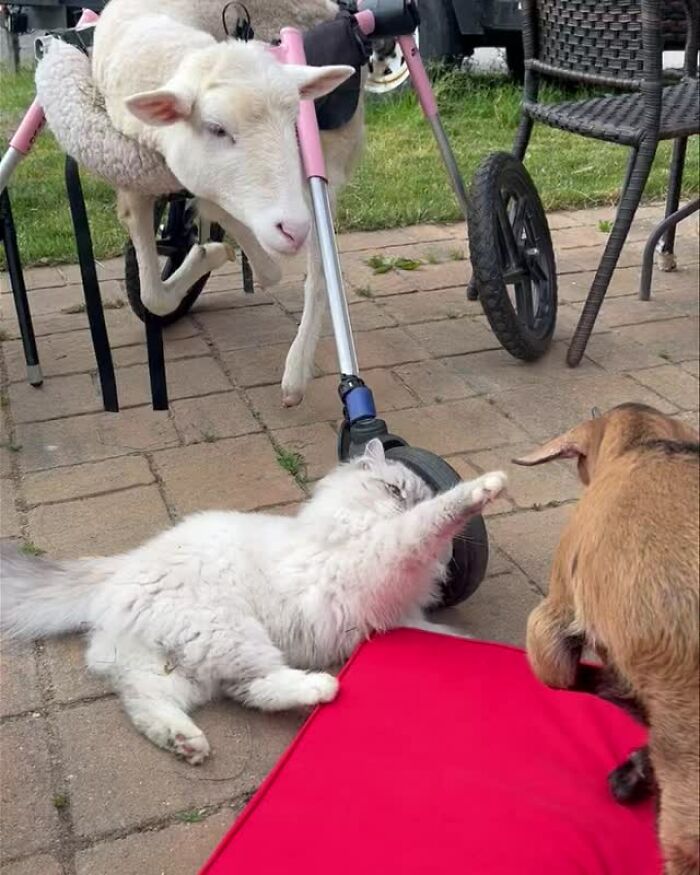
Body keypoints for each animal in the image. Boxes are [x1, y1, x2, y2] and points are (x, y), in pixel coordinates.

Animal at [92, 0, 363, 406]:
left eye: (294, 121)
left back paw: (296, 372)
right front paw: (208, 254)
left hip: (323, 164)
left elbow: (270, 269)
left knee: (320, 272)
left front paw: (214, 253)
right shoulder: (137, 176)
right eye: (216, 129)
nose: (294, 228)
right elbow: (153, 296)